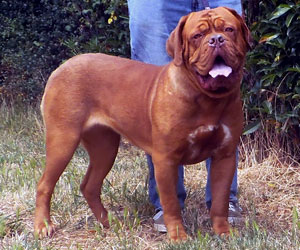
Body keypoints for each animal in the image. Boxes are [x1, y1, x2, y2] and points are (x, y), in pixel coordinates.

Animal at [34, 7, 251, 240]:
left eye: (229, 29)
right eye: (197, 36)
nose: (216, 40)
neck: (208, 99)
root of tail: (61, 67)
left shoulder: (224, 156)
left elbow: (220, 201)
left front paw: (224, 233)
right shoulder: (165, 159)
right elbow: (171, 204)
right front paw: (178, 236)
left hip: (105, 147)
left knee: (89, 186)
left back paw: (109, 222)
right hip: (63, 139)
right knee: (44, 185)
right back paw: (43, 226)